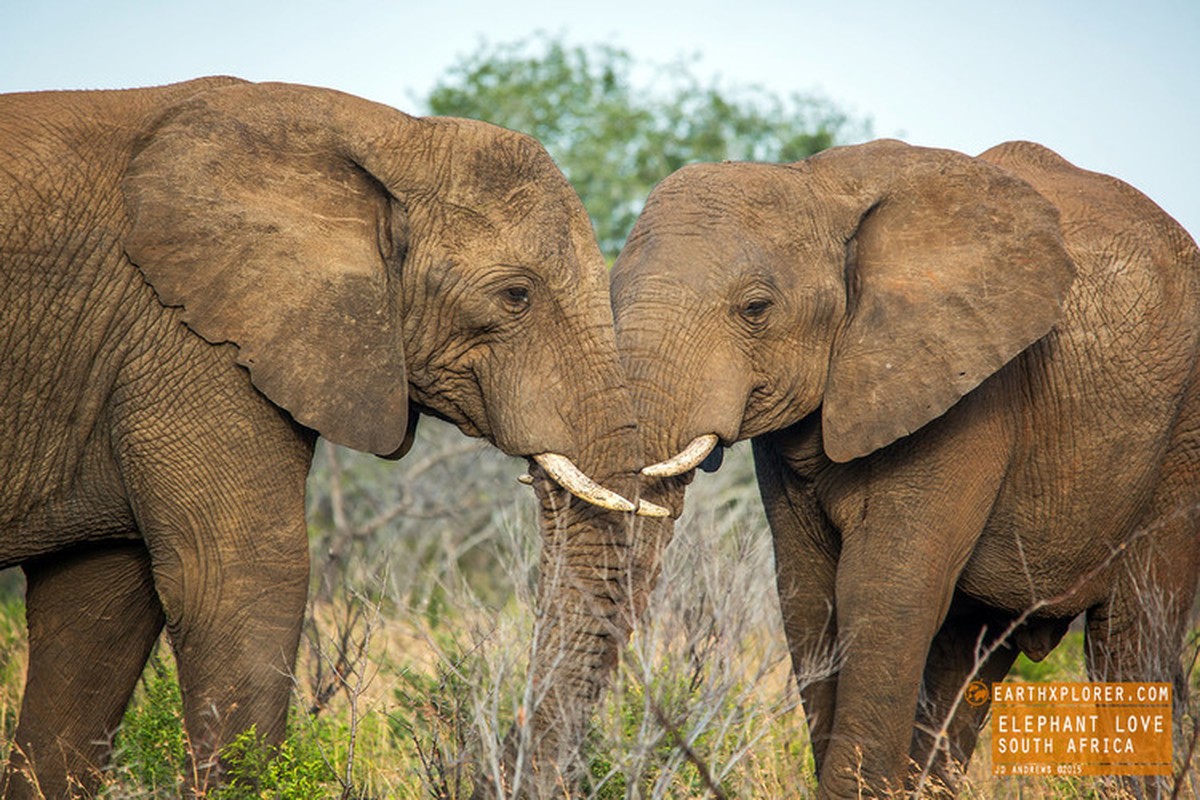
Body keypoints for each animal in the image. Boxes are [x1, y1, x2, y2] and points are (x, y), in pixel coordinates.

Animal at [609, 140, 1200, 796]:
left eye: (756, 309)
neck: (816, 183)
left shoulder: (969, 388)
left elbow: (885, 587)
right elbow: (808, 594)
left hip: (1181, 437)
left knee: (1133, 634)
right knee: (966, 654)